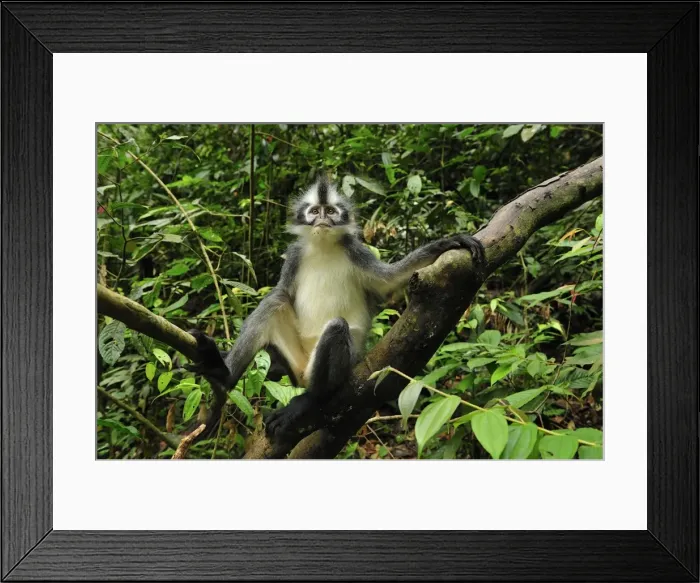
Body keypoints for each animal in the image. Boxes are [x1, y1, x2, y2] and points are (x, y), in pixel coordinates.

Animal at [187, 174, 485, 439]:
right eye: (315, 211)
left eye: (330, 211)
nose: (322, 219)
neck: (323, 246)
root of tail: (302, 372)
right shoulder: (294, 255)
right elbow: (281, 293)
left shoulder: (357, 251)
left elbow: (392, 279)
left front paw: (450, 242)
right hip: (294, 359)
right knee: (274, 303)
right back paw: (223, 373)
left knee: (337, 327)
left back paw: (311, 400)